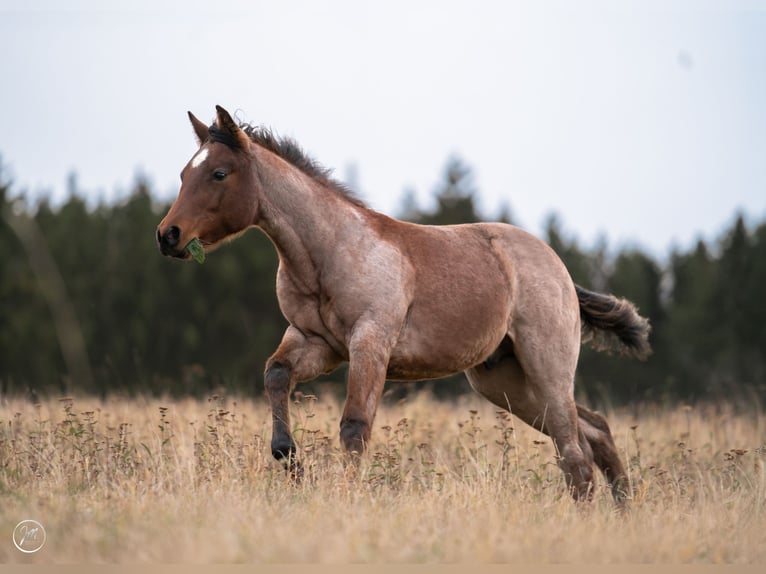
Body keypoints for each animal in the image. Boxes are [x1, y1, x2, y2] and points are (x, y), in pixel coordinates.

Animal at [157, 105, 651, 504]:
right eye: (183, 174)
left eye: (219, 174)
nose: (168, 235)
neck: (329, 252)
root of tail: (560, 270)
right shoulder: (316, 343)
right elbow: (275, 374)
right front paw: (291, 461)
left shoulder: (370, 342)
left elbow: (355, 427)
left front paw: (343, 497)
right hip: (503, 381)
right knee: (594, 430)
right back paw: (622, 513)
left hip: (546, 365)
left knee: (575, 453)